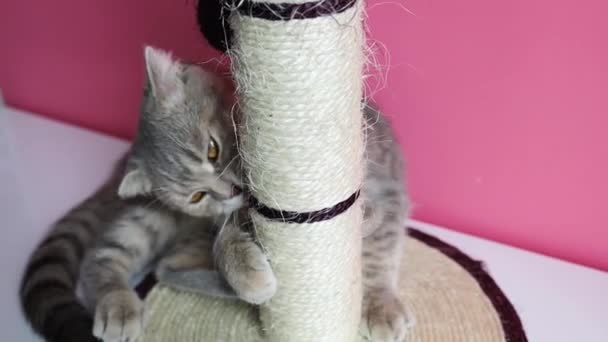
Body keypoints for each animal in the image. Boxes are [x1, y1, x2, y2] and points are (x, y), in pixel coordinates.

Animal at [19, 47, 276, 342]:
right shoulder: (220, 213)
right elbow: (226, 233)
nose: (234, 191)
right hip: (148, 220)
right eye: (197, 196)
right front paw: (249, 274)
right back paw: (117, 306)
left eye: (213, 150)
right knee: (125, 260)